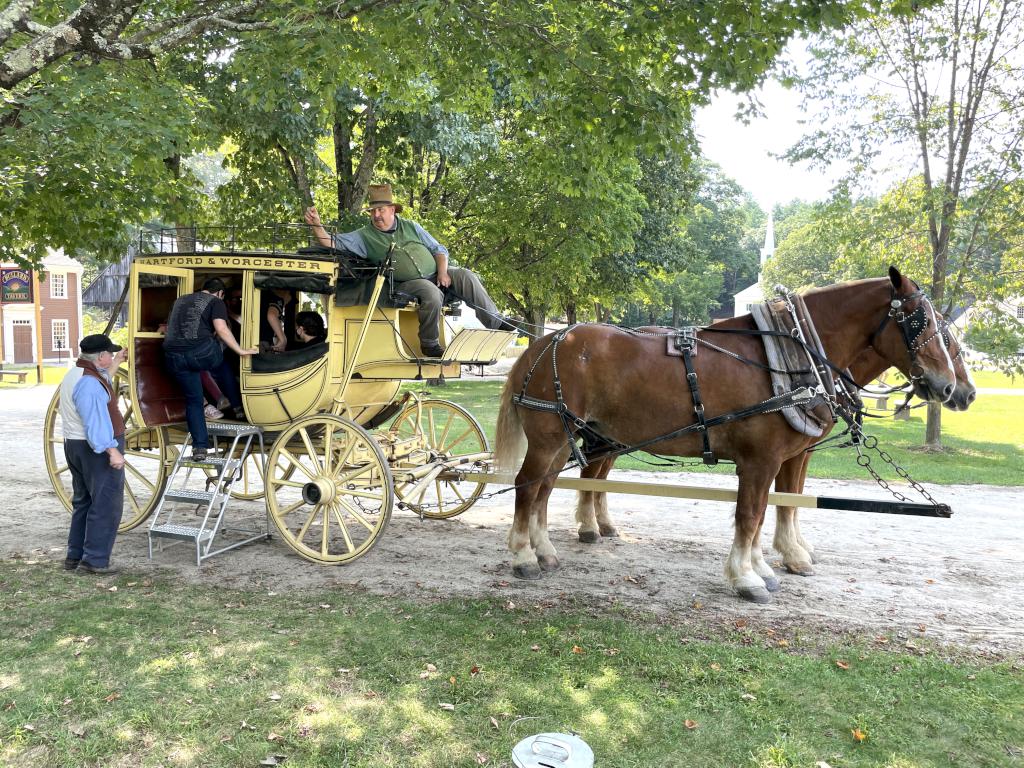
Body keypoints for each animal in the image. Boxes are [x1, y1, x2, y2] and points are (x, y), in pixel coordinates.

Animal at [495, 268, 958, 606]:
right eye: (921, 322)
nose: (954, 388)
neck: (784, 358)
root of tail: (543, 342)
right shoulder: (761, 459)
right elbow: (751, 515)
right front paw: (748, 578)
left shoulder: (777, 459)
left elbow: (767, 511)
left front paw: (764, 568)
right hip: (550, 437)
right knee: (527, 486)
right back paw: (523, 555)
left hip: (567, 438)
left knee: (546, 490)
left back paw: (546, 550)